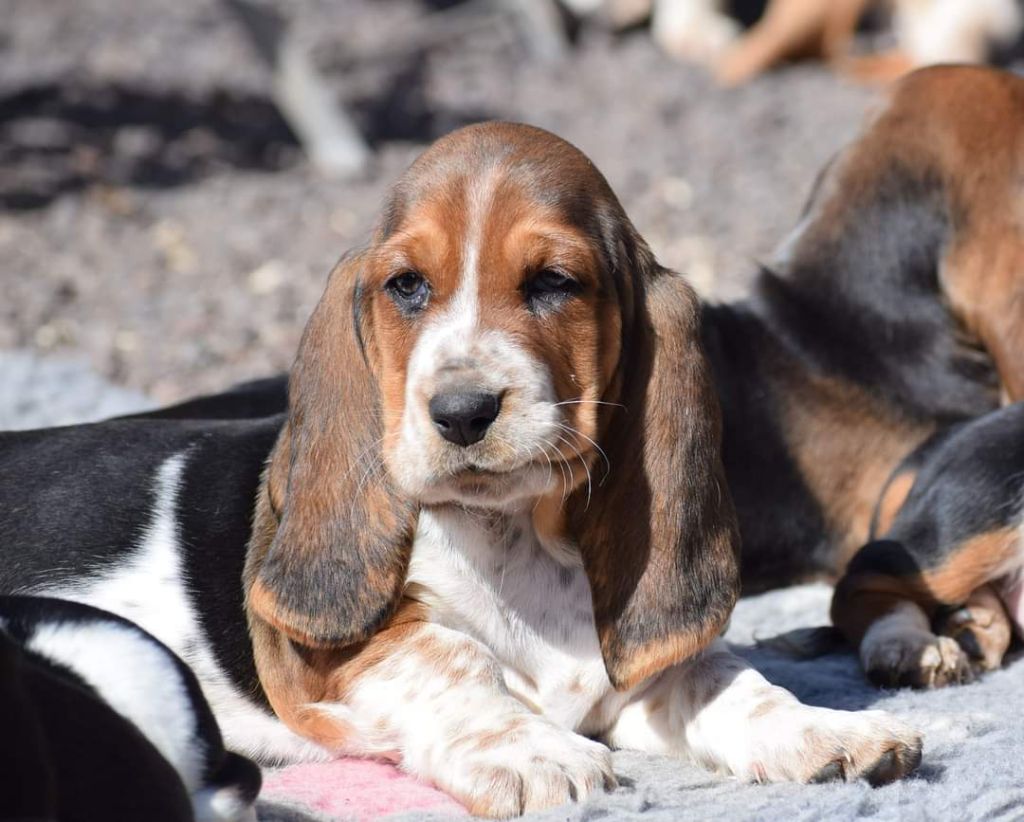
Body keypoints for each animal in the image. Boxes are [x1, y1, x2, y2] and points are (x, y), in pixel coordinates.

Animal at [0, 120, 925, 814]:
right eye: (406, 286)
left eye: (554, 282)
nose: (461, 411)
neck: (516, 538)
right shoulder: (332, 666)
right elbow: (451, 656)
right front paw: (532, 753)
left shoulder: (633, 681)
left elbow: (727, 676)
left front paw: (828, 731)